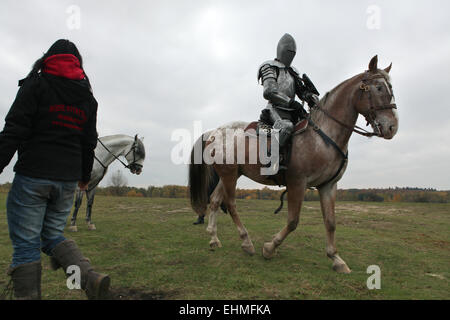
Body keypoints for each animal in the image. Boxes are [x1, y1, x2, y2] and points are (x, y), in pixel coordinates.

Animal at [188, 55, 400, 272]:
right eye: (379, 88)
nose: (392, 127)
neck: (323, 135)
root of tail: (213, 133)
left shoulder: (328, 185)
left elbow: (330, 222)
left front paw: (336, 259)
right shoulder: (297, 183)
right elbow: (292, 221)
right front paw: (270, 248)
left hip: (229, 174)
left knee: (214, 200)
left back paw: (214, 239)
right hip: (229, 175)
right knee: (230, 204)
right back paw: (246, 242)